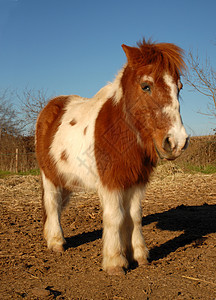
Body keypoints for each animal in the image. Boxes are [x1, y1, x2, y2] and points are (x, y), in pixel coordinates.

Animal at [35, 38, 189, 276]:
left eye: (179, 87)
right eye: (146, 86)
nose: (176, 142)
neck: (121, 132)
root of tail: (51, 106)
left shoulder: (135, 182)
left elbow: (134, 216)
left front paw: (138, 255)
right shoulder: (111, 183)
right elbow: (115, 217)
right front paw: (115, 262)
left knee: (58, 206)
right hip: (49, 176)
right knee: (52, 205)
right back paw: (56, 242)